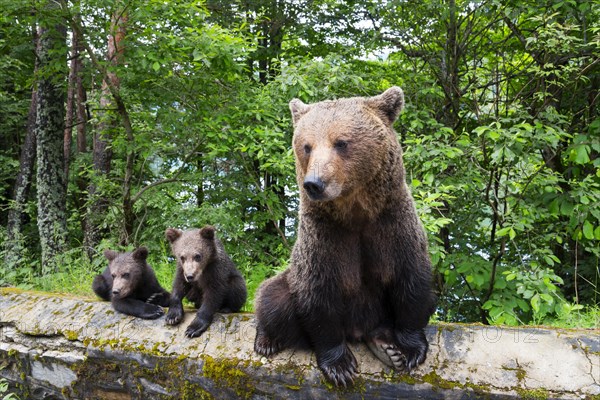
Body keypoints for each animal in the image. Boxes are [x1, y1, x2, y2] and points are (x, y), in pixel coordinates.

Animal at [253, 87, 436, 388]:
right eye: (307, 146)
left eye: (340, 142)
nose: (314, 183)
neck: (356, 212)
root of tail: (357, 330)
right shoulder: (324, 237)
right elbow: (317, 296)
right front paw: (340, 366)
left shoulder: (392, 226)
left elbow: (412, 282)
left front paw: (411, 350)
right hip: (290, 279)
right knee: (273, 297)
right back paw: (266, 340)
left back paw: (386, 346)